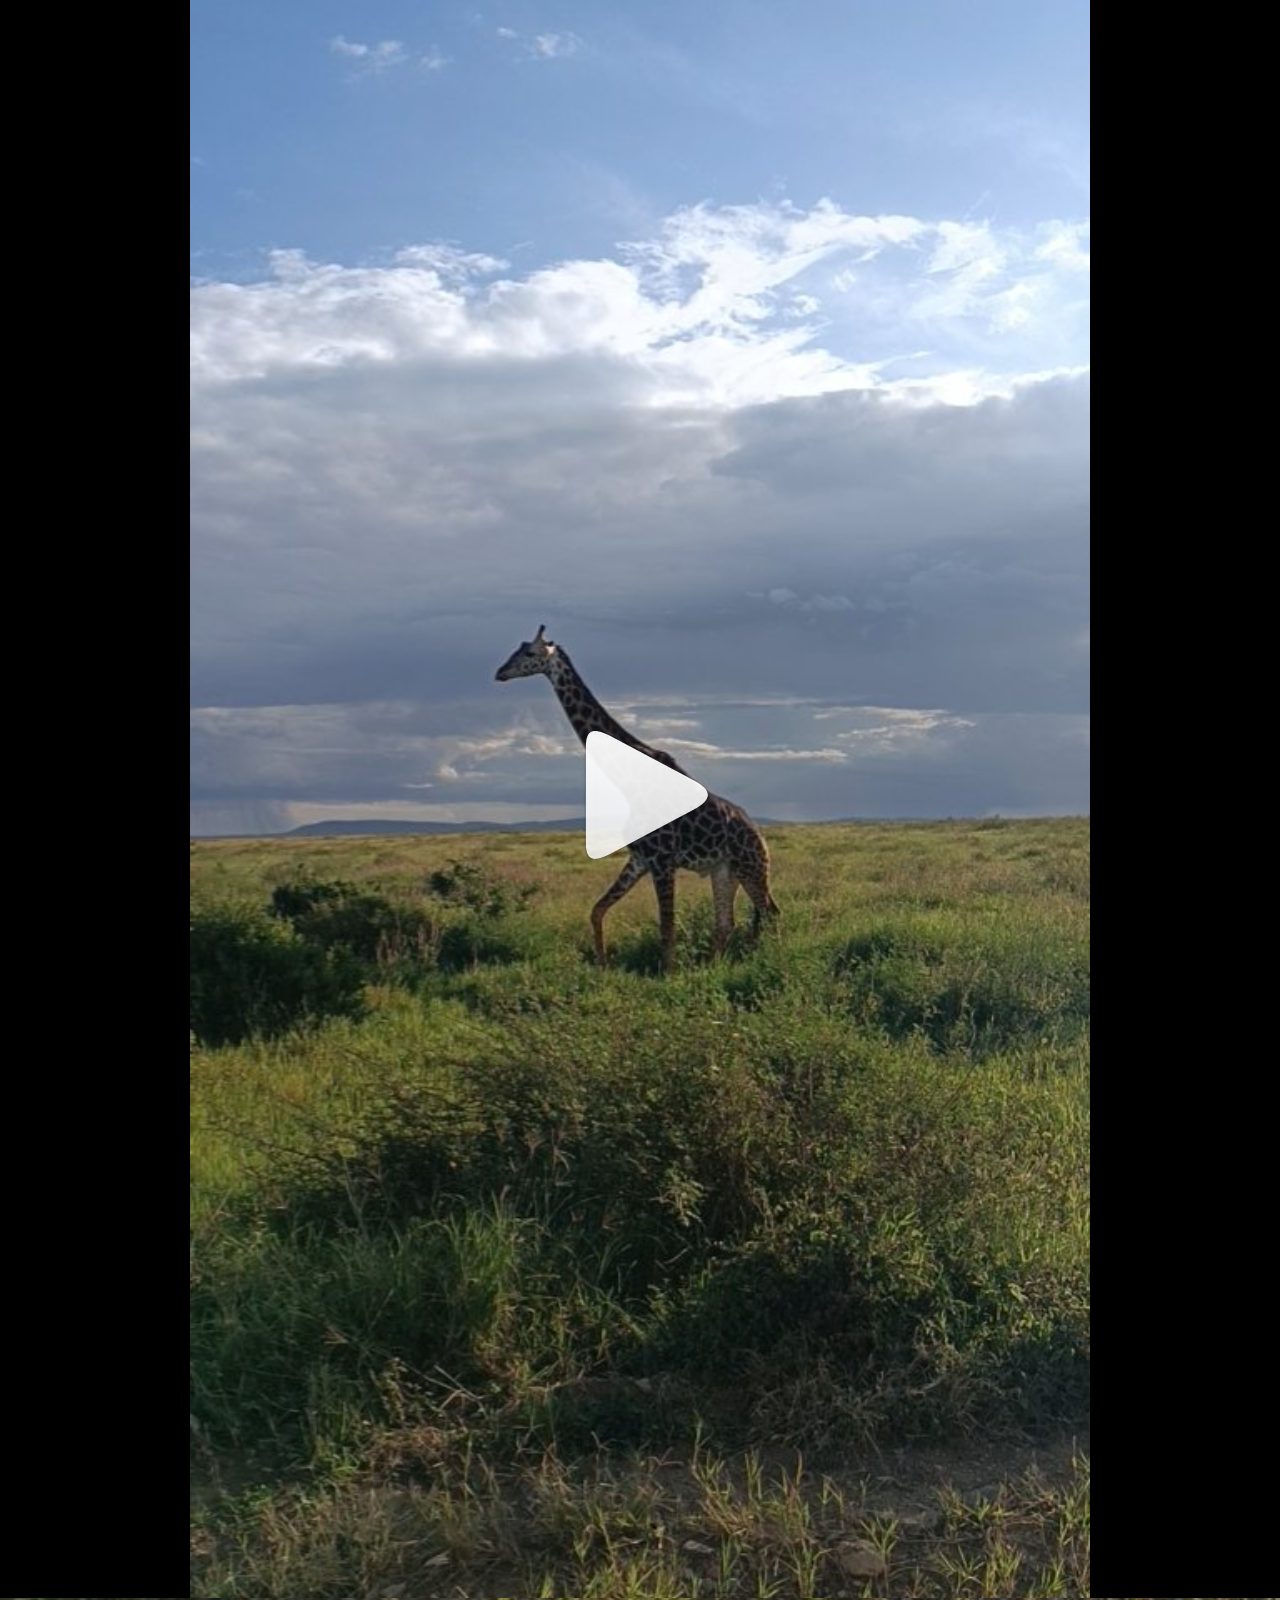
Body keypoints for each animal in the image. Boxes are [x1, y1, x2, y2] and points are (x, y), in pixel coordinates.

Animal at [495, 626, 779, 970]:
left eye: (530, 653)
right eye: (516, 648)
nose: (500, 672)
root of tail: (760, 837)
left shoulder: (662, 859)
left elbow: (667, 928)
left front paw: (669, 976)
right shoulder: (640, 858)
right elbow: (597, 910)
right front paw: (602, 965)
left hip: (751, 867)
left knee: (770, 913)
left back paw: (766, 960)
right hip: (724, 870)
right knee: (727, 922)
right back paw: (715, 967)